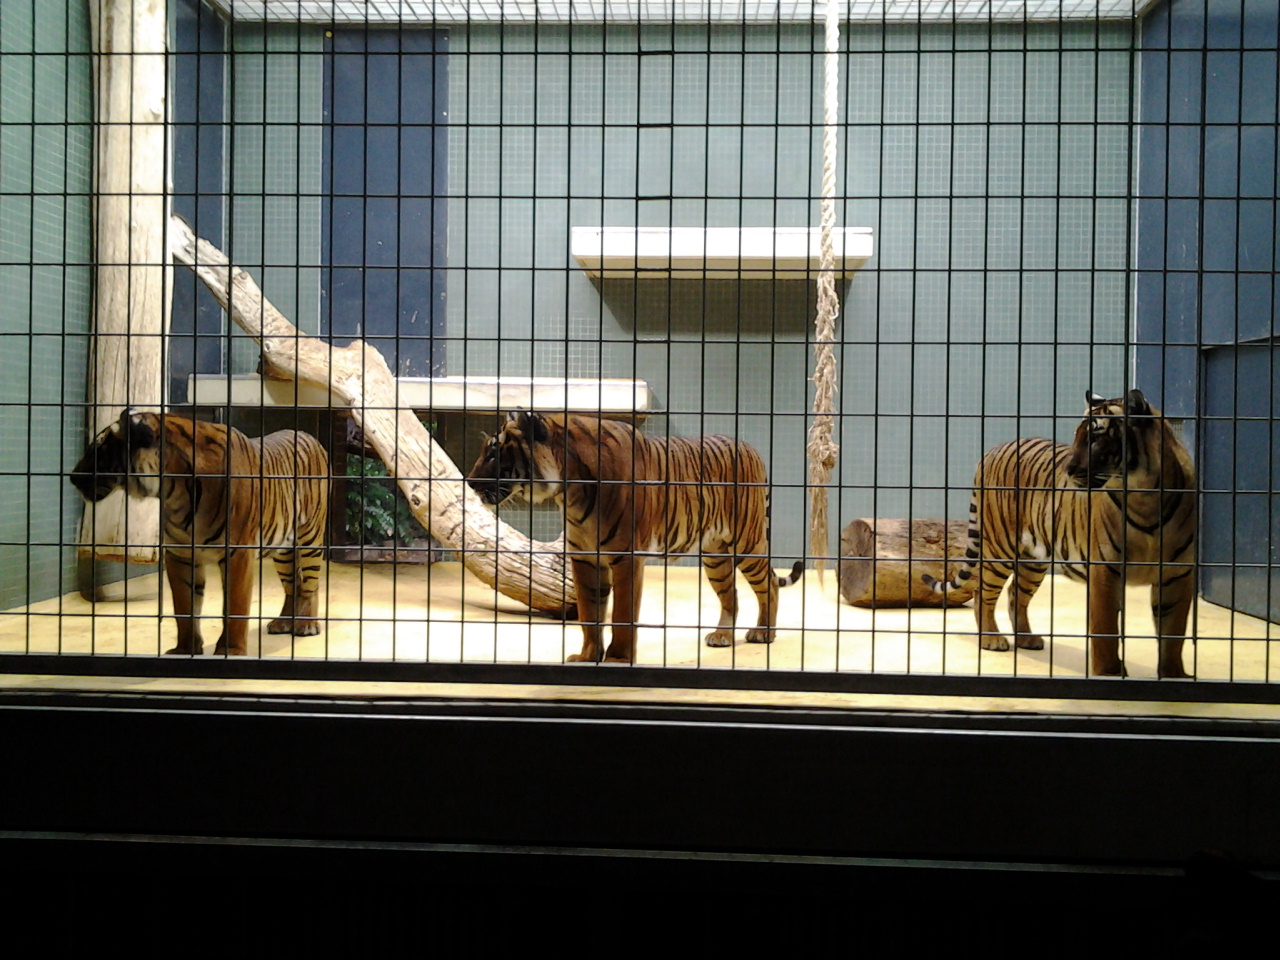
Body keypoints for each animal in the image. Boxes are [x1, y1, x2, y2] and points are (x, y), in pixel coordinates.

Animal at [69, 409, 330, 660]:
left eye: (101, 448)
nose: (72, 477)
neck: (173, 490)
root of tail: (308, 435)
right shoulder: (181, 555)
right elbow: (185, 607)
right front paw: (185, 649)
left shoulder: (237, 554)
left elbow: (235, 606)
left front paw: (231, 651)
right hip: (283, 551)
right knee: (294, 584)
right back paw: (283, 622)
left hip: (310, 538)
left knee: (311, 583)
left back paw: (307, 625)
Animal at [465, 409, 803, 665]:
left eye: (494, 453)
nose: (468, 482)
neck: (570, 489)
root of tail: (750, 447)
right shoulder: (584, 559)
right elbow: (589, 613)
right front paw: (587, 657)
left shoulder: (625, 558)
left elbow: (622, 613)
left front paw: (617, 658)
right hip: (715, 556)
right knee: (730, 594)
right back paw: (722, 636)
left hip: (747, 542)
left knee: (770, 584)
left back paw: (764, 632)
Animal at [926, 386, 1192, 680]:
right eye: (1077, 435)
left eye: (1096, 438)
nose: (1069, 469)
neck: (1145, 499)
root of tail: (994, 449)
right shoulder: (1106, 570)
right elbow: (1106, 629)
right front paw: (1109, 673)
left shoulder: (1177, 574)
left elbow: (1173, 634)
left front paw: (1174, 676)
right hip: (999, 548)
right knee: (981, 591)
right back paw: (991, 639)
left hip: (1033, 559)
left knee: (1015, 594)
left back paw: (1026, 639)